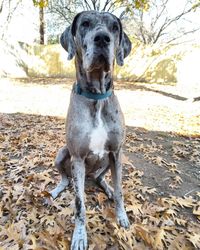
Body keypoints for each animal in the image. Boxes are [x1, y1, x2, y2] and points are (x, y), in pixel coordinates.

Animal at [49, 10, 131, 250]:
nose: (102, 38)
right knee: (67, 179)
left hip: (108, 162)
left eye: (114, 27)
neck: (97, 97)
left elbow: (121, 190)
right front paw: (79, 235)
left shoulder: (117, 152)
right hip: (62, 154)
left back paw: (107, 189)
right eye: (85, 23)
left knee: (100, 178)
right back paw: (57, 190)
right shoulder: (77, 158)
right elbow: (79, 204)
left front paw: (121, 216)